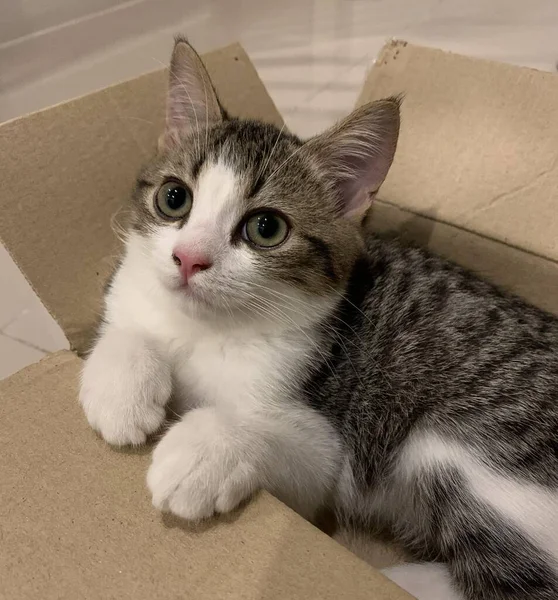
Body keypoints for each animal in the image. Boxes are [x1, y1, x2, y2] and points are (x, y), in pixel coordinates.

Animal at [80, 38, 558, 600]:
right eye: (173, 197)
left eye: (266, 228)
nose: (189, 258)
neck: (204, 330)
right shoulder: (128, 294)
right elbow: (125, 328)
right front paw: (121, 392)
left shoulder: (326, 449)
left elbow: (286, 445)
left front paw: (200, 453)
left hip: (465, 448)